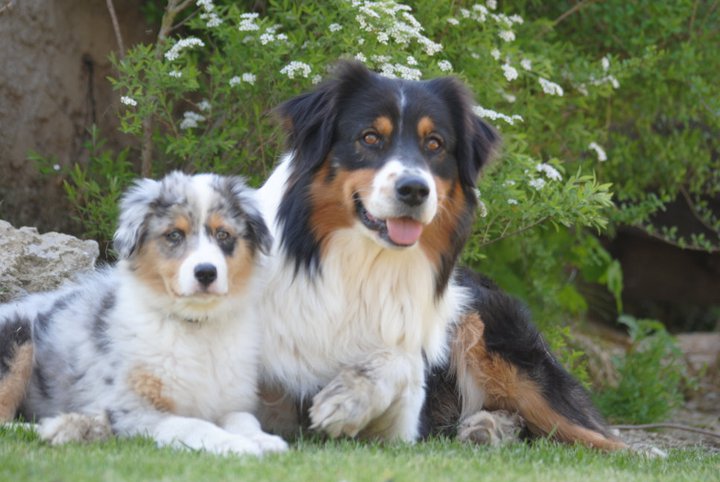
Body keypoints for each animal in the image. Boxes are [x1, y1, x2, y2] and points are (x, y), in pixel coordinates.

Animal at [0, 171, 288, 456]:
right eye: (174, 235)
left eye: (224, 235)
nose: (206, 272)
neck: (196, 325)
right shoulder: (134, 409)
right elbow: (195, 425)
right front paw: (237, 444)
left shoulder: (230, 402)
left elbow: (244, 419)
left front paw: (264, 440)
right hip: (17, 335)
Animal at [255, 61, 624, 449]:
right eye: (370, 137)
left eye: (434, 144)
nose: (415, 190)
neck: (363, 266)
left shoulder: (407, 424)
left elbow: (400, 363)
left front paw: (348, 397)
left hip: (495, 341)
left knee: (605, 441)